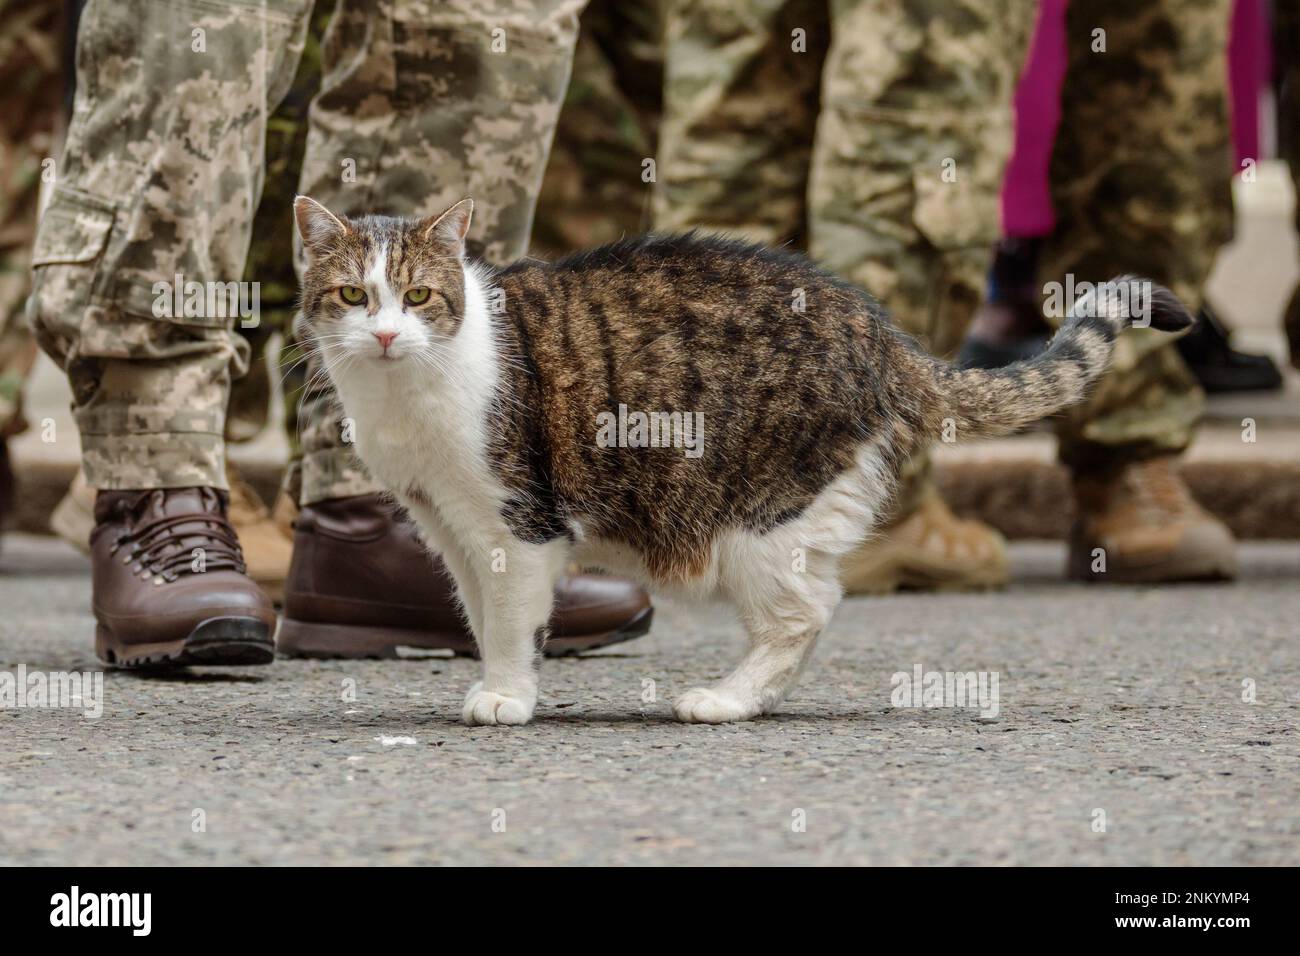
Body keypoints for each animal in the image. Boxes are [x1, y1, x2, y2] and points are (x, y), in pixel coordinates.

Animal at [292, 197, 1190, 728]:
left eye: (418, 296)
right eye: (352, 297)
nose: (384, 334)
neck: (404, 396)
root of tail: (883, 333)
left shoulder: (516, 526)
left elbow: (512, 621)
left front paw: (509, 695)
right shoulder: (450, 529)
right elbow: (479, 616)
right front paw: (495, 679)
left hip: (761, 519)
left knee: (807, 612)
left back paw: (726, 700)